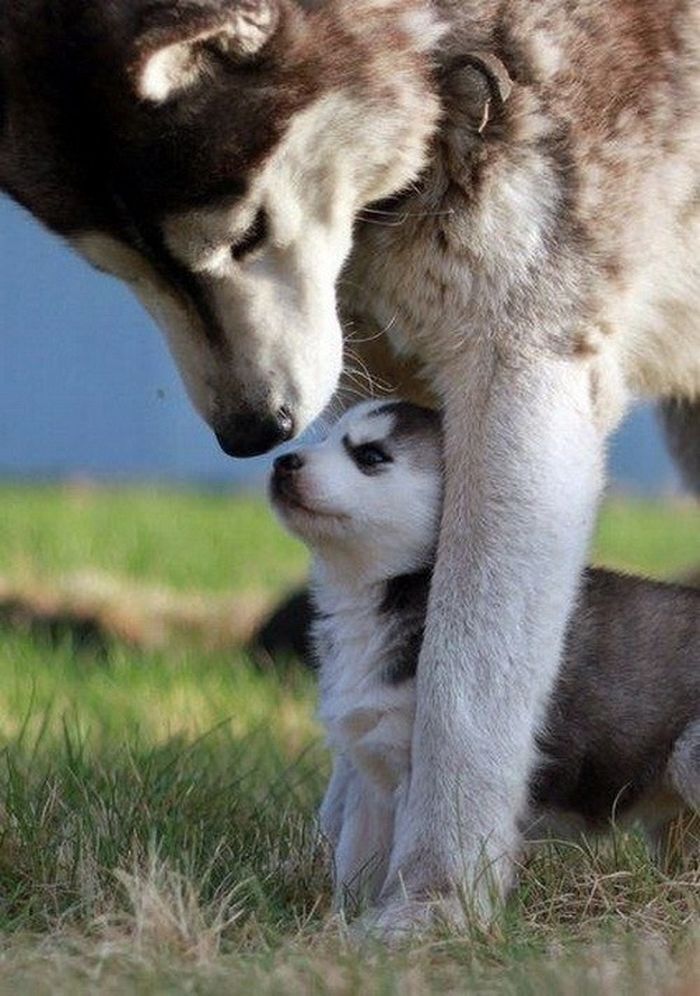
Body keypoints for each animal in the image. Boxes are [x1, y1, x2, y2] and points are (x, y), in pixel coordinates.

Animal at [270, 402, 700, 912]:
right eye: (325, 438)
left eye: (371, 456)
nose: (282, 462)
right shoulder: (371, 779)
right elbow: (354, 866)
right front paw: (336, 927)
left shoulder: (421, 774)